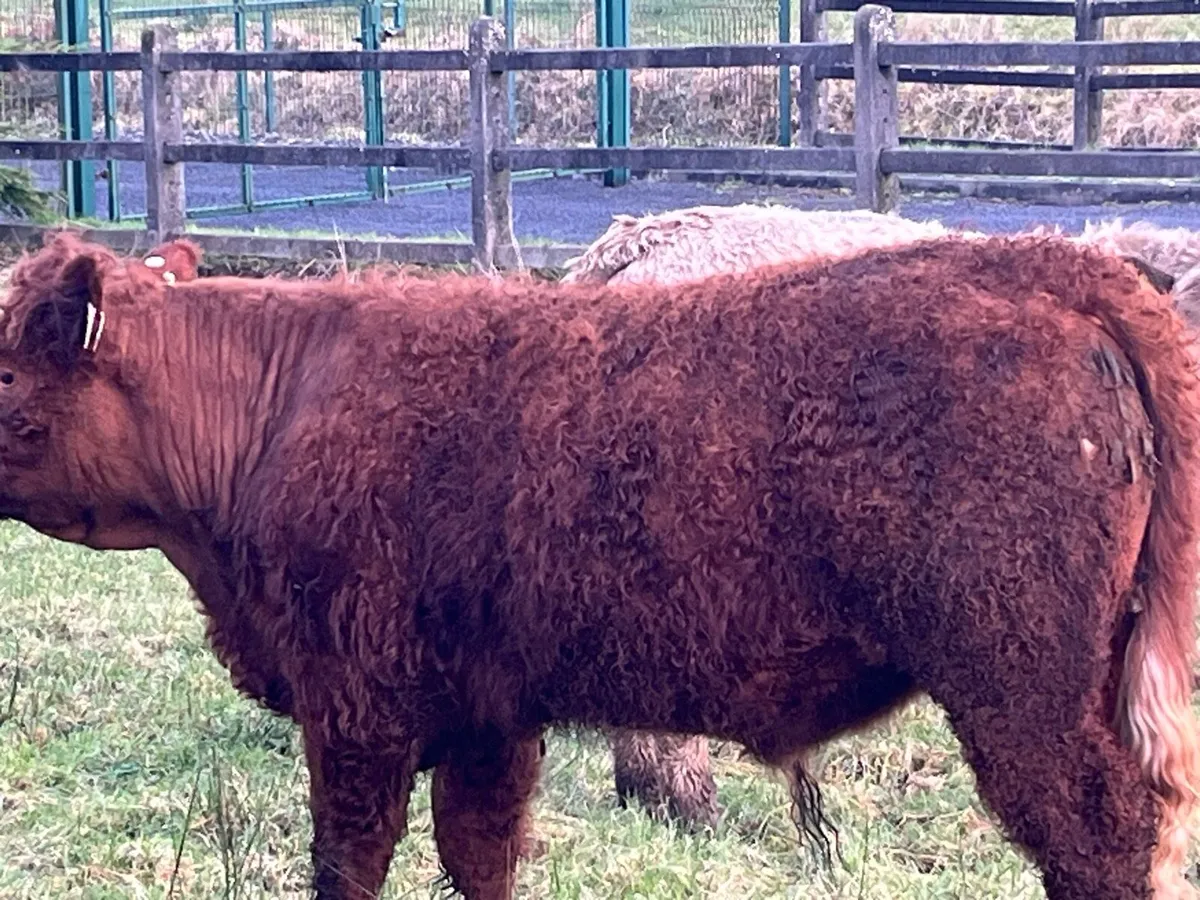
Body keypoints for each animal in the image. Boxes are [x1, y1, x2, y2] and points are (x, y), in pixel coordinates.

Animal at [0, 230, 1198, 900]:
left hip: (1025, 691)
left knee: (1100, 844)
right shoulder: (486, 719)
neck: (276, 406)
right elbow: (480, 858)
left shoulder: (358, 713)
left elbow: (349, 867)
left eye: (7, 367)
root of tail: (1048, 259)